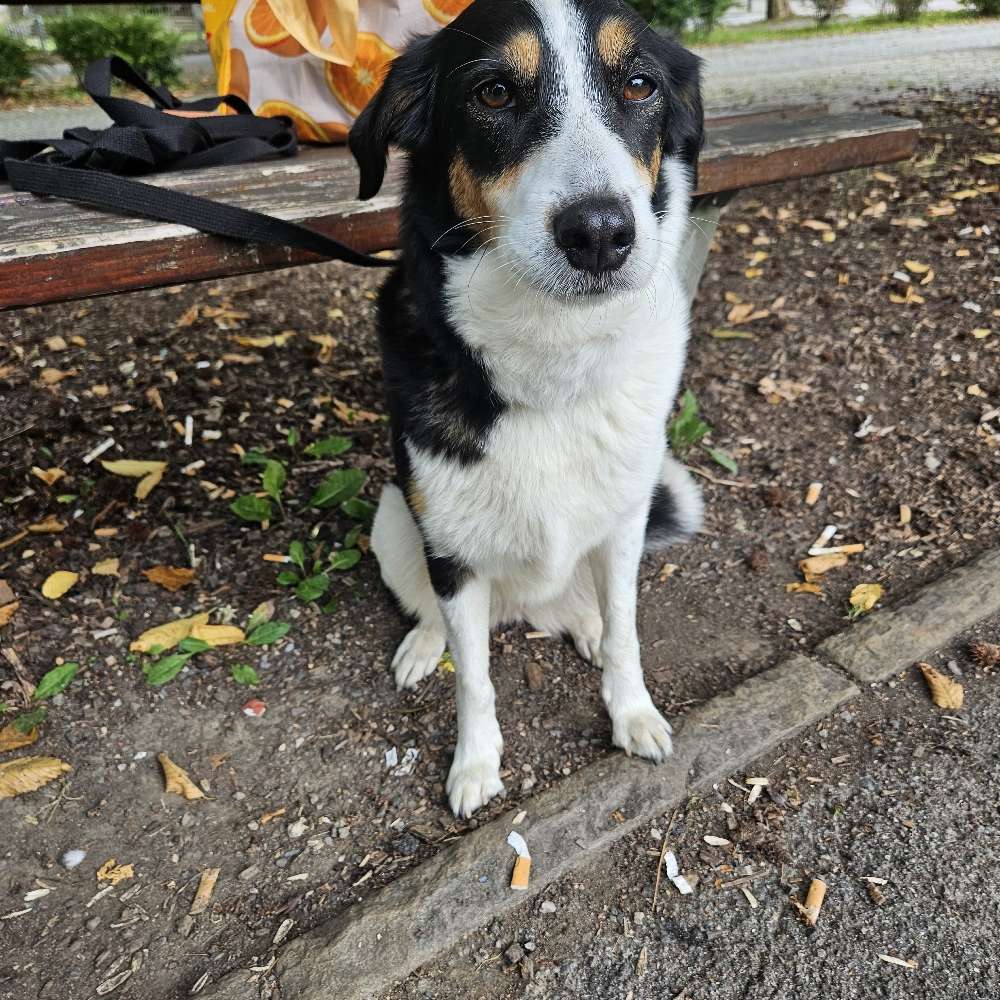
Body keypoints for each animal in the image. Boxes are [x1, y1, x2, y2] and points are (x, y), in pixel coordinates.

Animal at [348, 0, 708, 820]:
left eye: (639, 84)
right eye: (493, 94)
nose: (601, 233)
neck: (552, 365)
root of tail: (519, 611)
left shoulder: (625, 522)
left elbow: (629, 634)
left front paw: (632, 713)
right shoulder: (448, 548)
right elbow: (476, 681)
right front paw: (475, 765)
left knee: (590, 611)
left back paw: (583, 626)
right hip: (393, 519)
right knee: (440, 618)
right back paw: (424, 645)